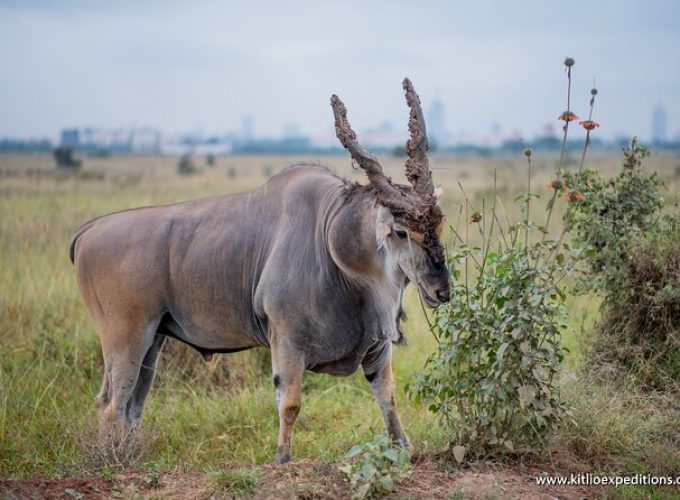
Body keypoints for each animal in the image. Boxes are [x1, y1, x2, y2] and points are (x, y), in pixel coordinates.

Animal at [71, 78, 448, 464]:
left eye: (439, 223)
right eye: (401, 232)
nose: (441, 291)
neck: (332, 237)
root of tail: (88, 231)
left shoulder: (376, 348)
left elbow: (388, 397)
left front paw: (403, 449)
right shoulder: (287, 341)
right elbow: (290, 404)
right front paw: (282, 459)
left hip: (153, 338)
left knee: (134, 402)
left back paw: (131, 455)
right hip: (126, 335)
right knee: (110, 402)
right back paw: (110, 461)